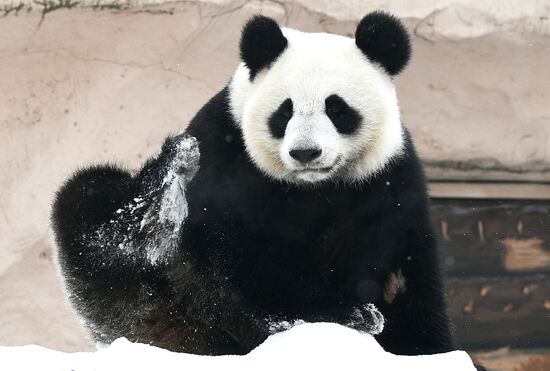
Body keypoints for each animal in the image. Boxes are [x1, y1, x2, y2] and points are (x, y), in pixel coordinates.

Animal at [51, 12, 458, 358]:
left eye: (337, 108)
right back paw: (159, 197)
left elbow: (402, 275)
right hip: (164, 298)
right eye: (285, 110)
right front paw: (333, 313)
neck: (315, 187)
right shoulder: (225, 158)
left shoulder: (386, 182)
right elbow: (242, 255)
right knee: (96, 212)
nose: (305, 153)